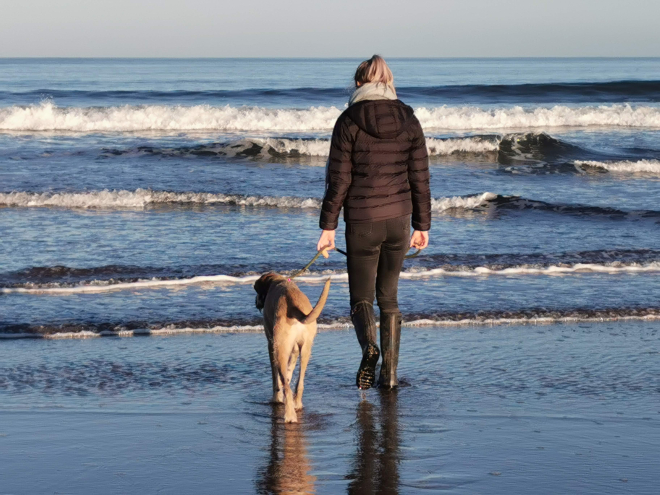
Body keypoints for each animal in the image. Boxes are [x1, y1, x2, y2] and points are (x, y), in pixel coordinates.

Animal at [255, 274, 332, 424]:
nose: (256, 302)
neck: (276, 280)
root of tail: (293, 305)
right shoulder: (296, 348)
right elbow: (290, 370)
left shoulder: (271, 344)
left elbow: (276, 379)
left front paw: (277, 398)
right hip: (306, 348)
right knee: (299, 382)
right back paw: (297, 404)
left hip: (280, 348)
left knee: (285, 385)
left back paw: (290, 415)